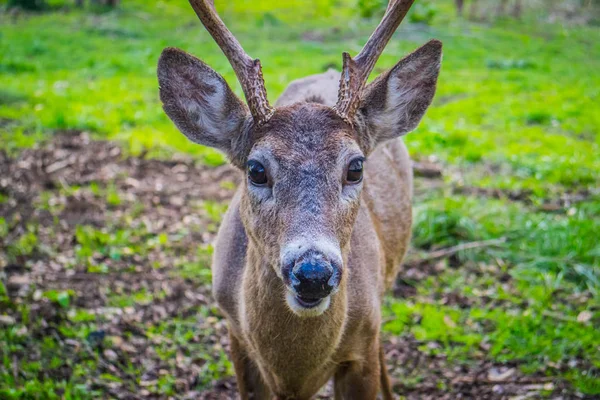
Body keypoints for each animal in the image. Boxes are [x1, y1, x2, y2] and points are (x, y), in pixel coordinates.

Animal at [157, 0, 442, 396]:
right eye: (256, 169)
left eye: (356, 167)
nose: (313, 274)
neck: (292, 369)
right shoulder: (237, 337)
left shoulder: (362, 348)